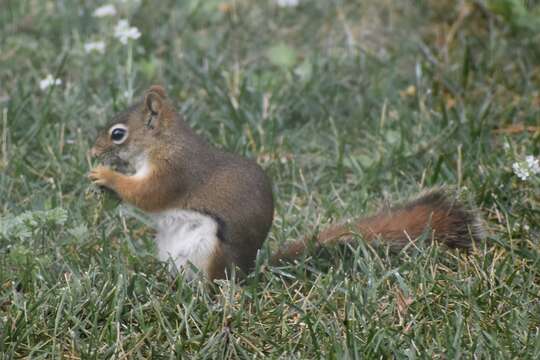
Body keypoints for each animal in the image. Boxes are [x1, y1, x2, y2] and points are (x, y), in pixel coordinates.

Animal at [88, 85, 486, 282]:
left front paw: (105, 176)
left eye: (118, 134)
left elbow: (148, 195)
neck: (164, 143)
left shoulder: (175, 172)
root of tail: (248, 271)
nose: (92, 149)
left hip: (210, 249)